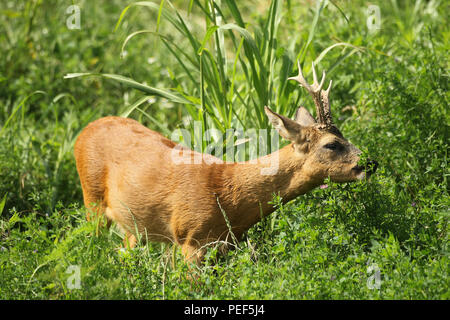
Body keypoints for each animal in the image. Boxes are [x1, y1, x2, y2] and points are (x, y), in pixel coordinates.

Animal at [74, 62, 376, 264]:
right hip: (92, 199)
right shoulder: (190, 239)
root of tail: (85, 130)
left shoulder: (226, 244)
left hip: (132, 226)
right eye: (332, 144)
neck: (229, 196)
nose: (370, 162)